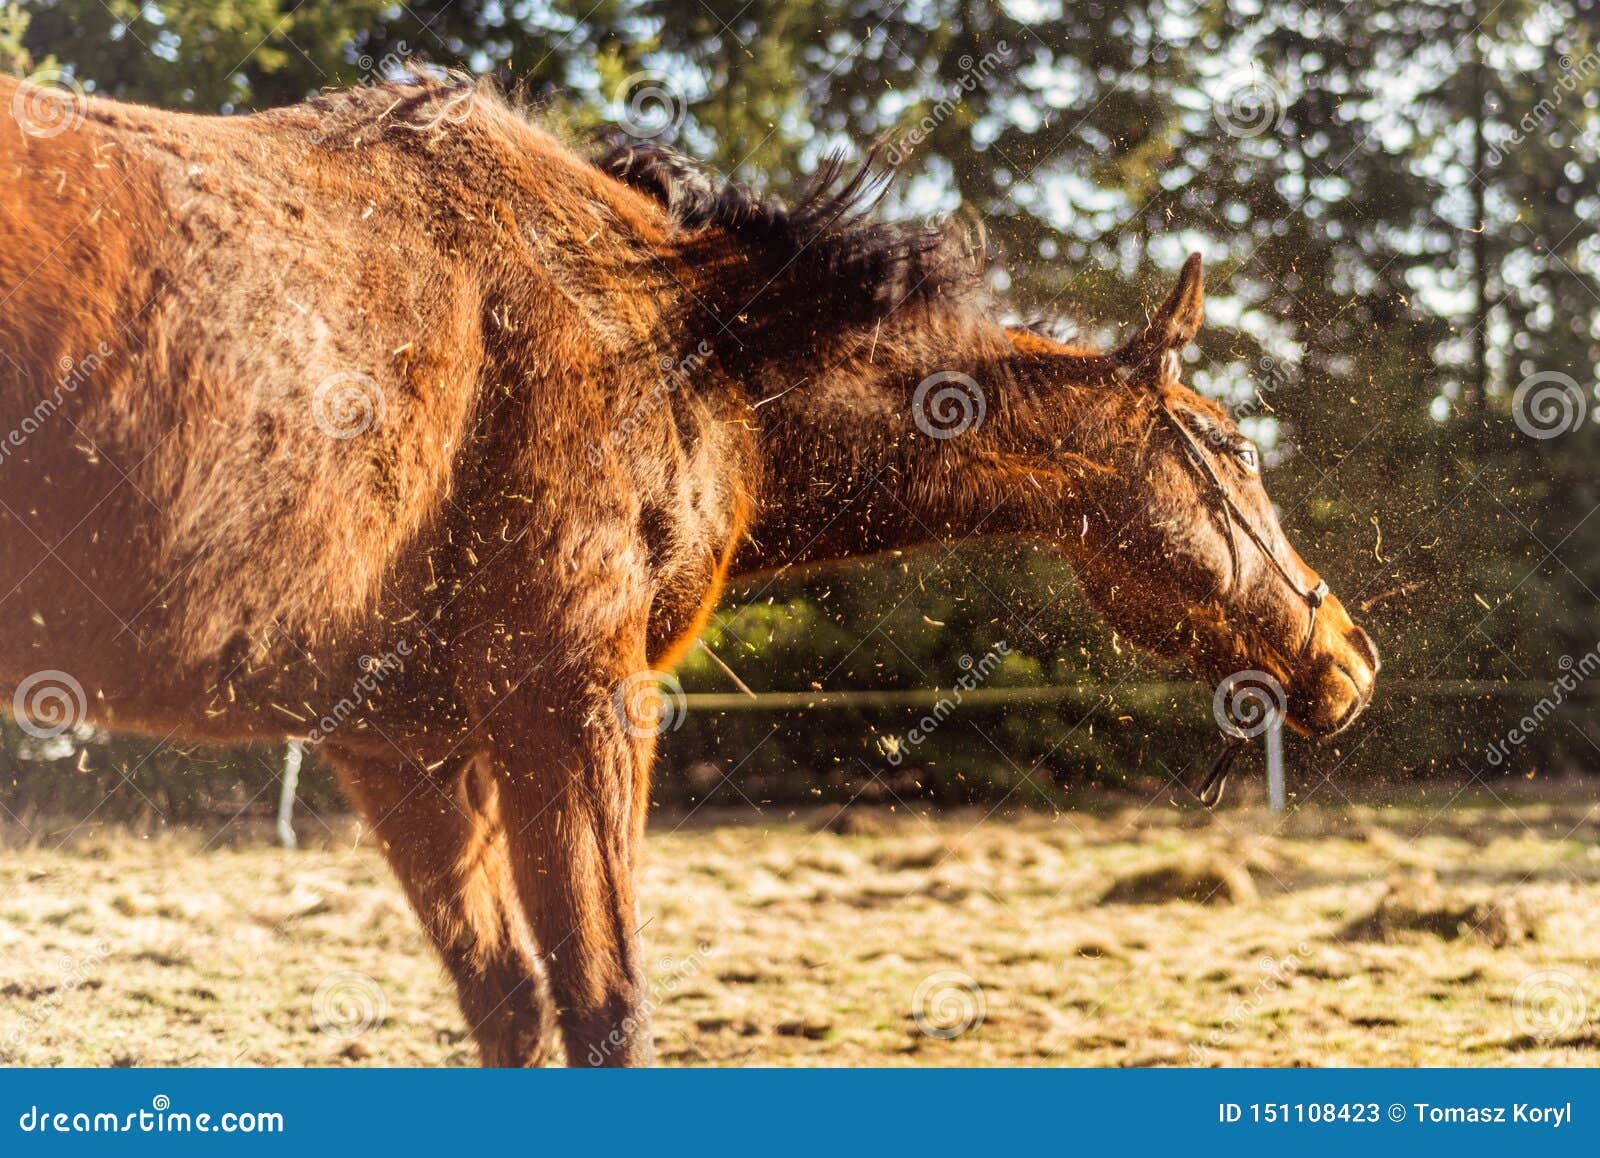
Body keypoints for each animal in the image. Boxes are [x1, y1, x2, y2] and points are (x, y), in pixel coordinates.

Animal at [0, 74, 1378, 1065]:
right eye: (1237, 447)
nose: (1347, 656)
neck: (669, 338)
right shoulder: (573, 701)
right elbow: (606, 1011)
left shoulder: (404, 745)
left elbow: (510, 1007)